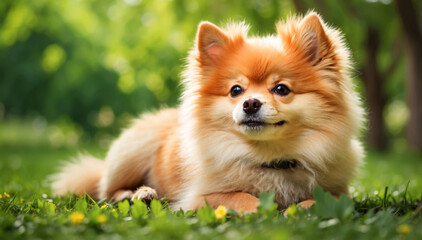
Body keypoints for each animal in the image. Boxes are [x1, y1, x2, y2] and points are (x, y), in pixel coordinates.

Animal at [52, 12, 362, 213]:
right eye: (236, 90)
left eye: (281, 89)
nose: (250, 103)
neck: (268, 159)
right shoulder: (198, 198)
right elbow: (239, 197)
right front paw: (264, 208)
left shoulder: (340, 190)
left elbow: (327, 200)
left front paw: (299, 208)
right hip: (132, 151)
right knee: (108, 190)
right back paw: (140, 194)